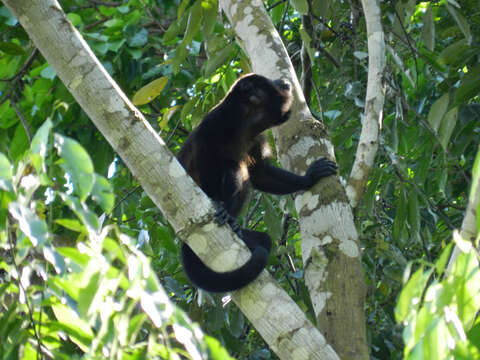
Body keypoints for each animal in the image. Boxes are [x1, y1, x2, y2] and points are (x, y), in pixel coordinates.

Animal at [177, 73, 338, 292]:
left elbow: (259, 173)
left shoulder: (256, 137)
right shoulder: (220, 117)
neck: (247, 119)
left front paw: (309, 178)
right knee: (231, 166)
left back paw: (236, 226)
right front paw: (215, 200)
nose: (282, 80)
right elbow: (203, 145)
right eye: (270, 82)